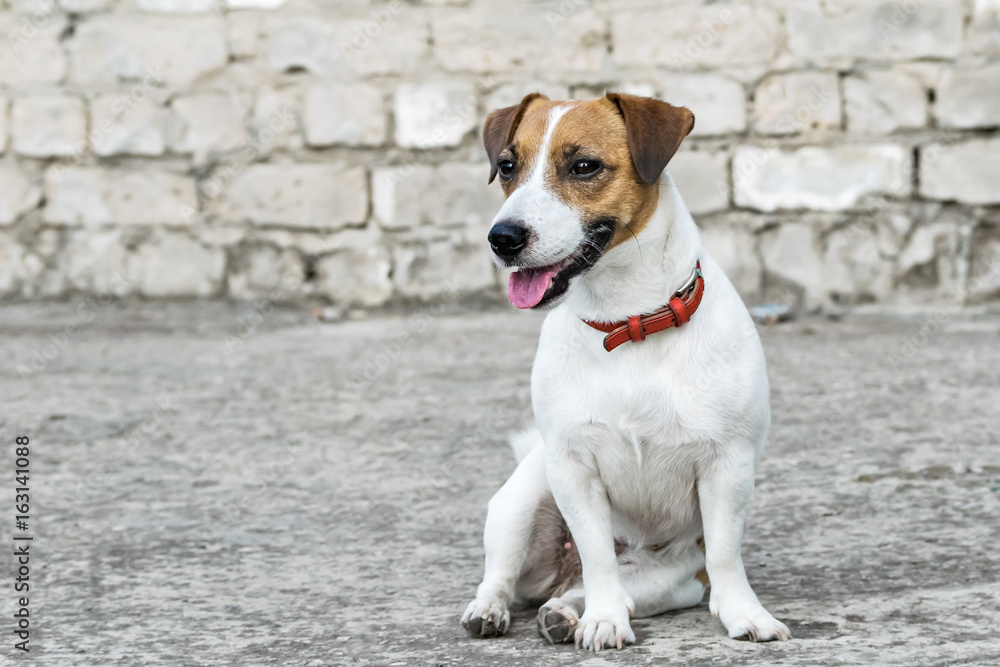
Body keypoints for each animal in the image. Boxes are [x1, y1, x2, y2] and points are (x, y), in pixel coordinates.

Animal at [458, 94, 788, 652]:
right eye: (506, 166)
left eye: (584, 166)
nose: (502, 238)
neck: (626, 322)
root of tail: (556, 575)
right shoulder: (573, 469)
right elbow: (597, 558)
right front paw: (606, 620)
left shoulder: (728, 466)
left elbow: (725, 553)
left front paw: (745, 614)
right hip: (522, 500)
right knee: (508, 576)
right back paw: (493, 609)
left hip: (673, 577)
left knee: (588, 590)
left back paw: (565, 614)